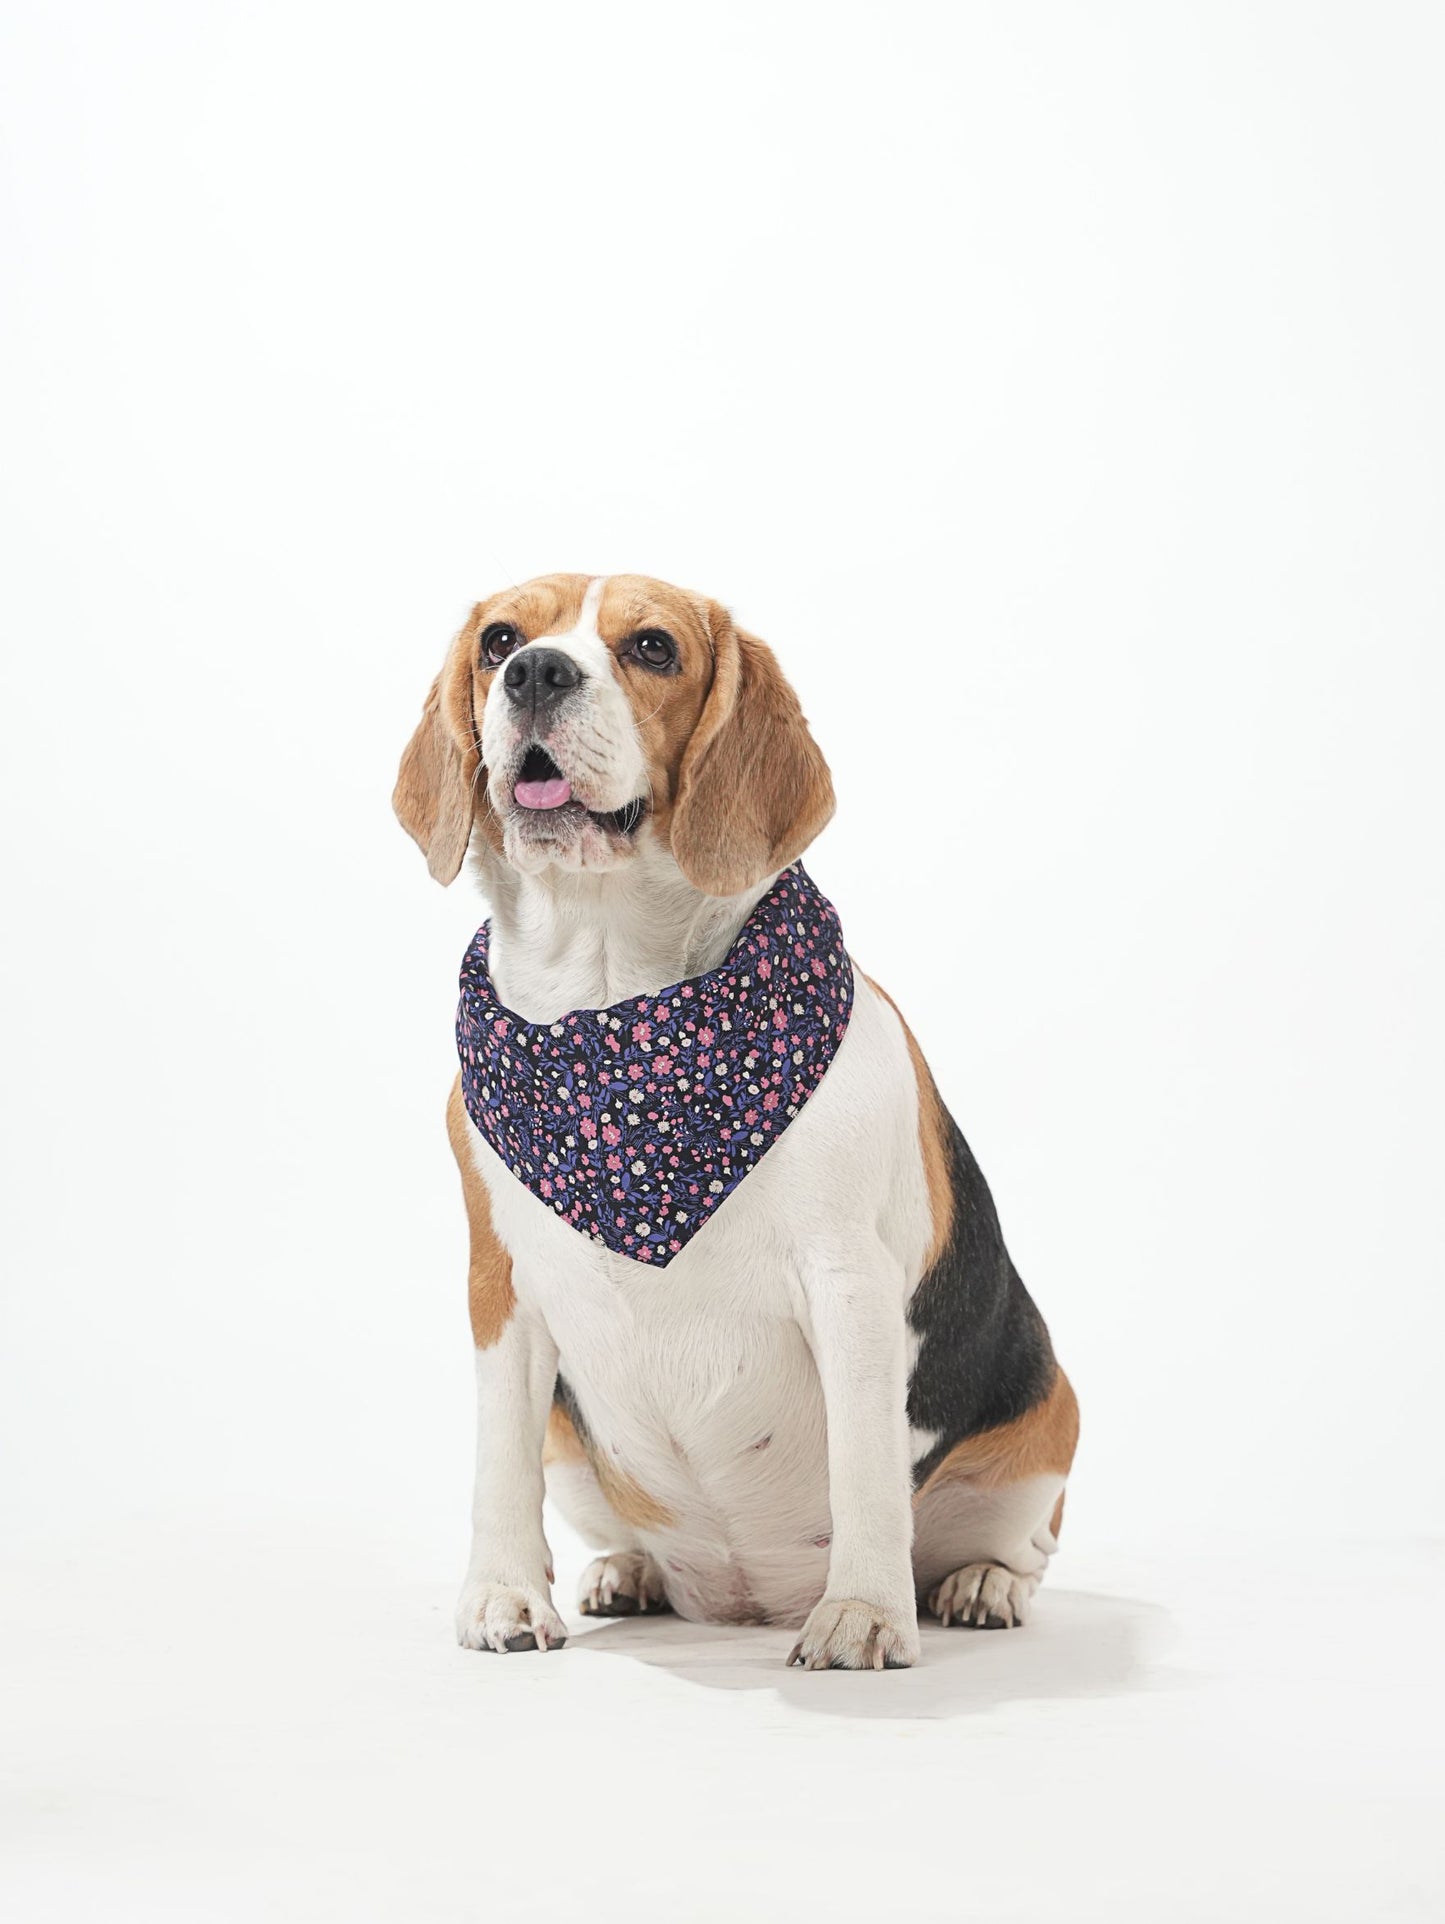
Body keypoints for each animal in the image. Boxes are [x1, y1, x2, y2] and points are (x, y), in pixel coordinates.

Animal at [396, 569, 1077, 1670]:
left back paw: (971, 1584)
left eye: (653, 648)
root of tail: (746, 1598)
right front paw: (503, 1596)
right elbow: (498, 1464)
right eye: (499, 638)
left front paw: (865, 1614)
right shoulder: (500, 1289)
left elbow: (865, 1470)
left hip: (1046, 1427)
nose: (534, 672)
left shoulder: (850, 1283)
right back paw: (630, 1571)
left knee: (1007, 1542)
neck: (613, 1017)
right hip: (576, 1443)